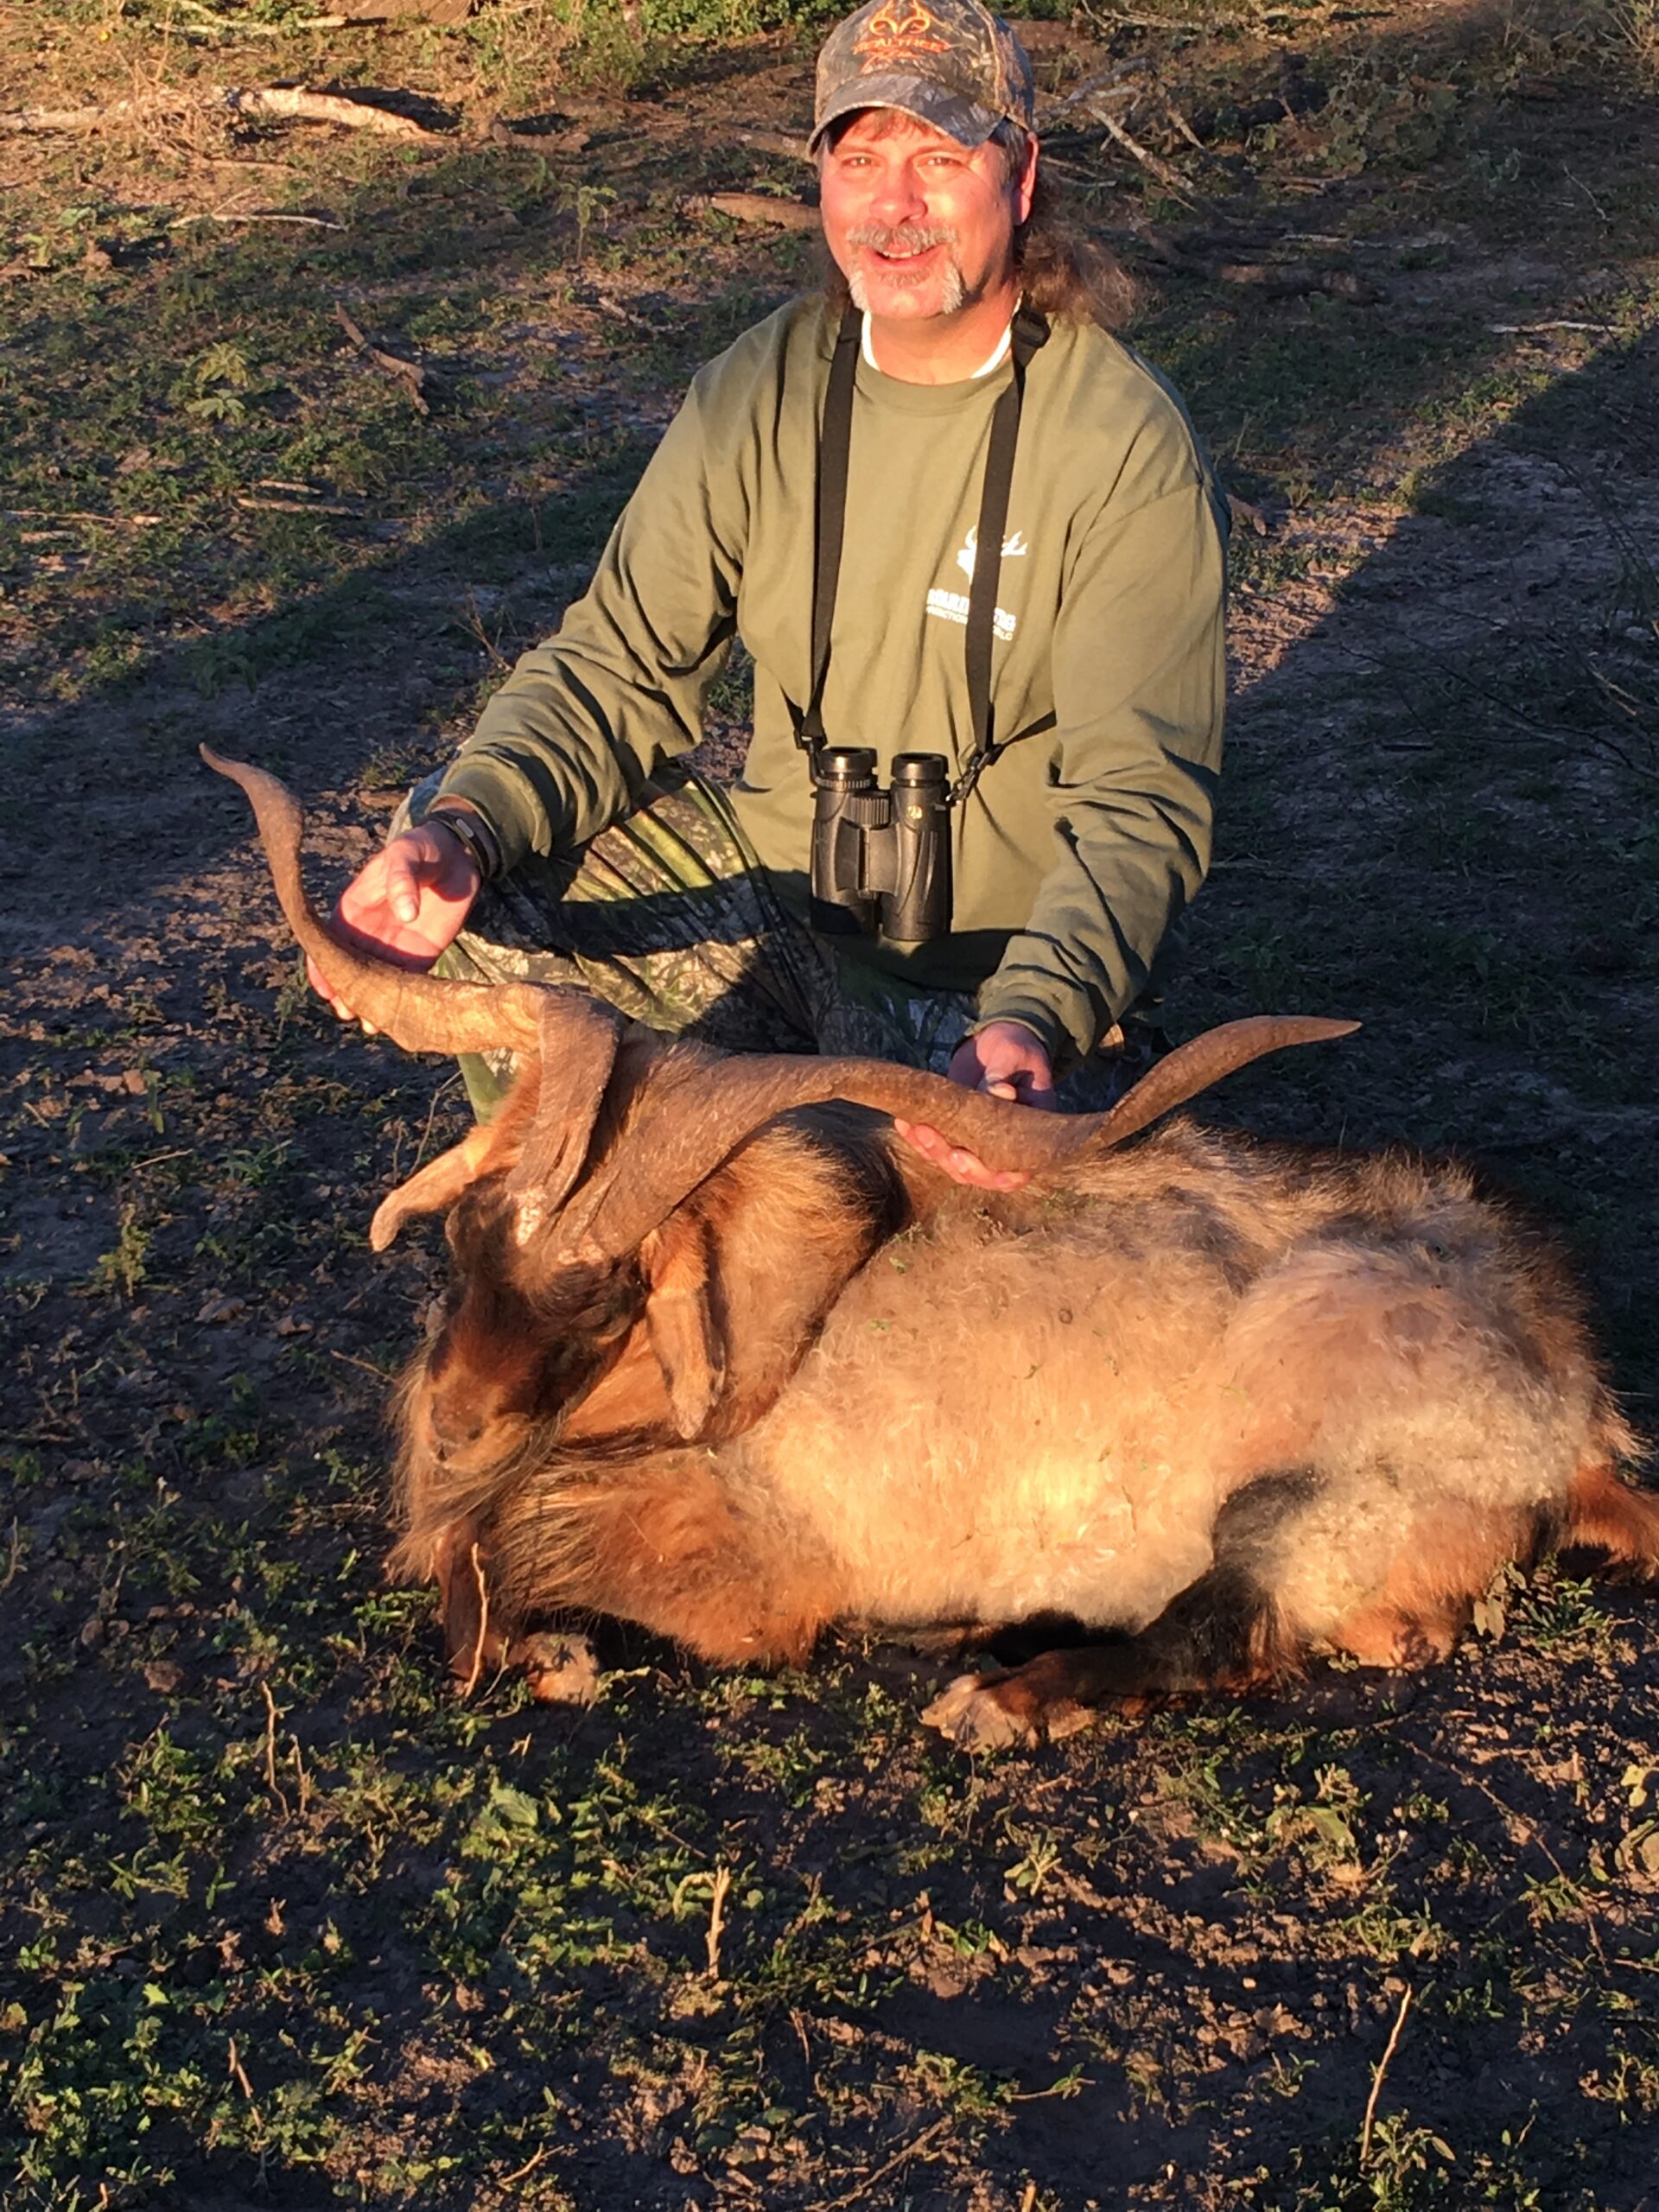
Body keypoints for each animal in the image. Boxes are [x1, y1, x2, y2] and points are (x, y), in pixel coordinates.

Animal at [207, 752, 1659, 1751]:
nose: (456, 1428)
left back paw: (1003, 1695)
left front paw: (548, 1651)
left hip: (1310, 1499)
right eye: (465, 1234)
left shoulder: (748, 1569)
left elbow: (531, 1593)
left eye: (609, 1294)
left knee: (1227, 1634)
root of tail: (1580, 1414)